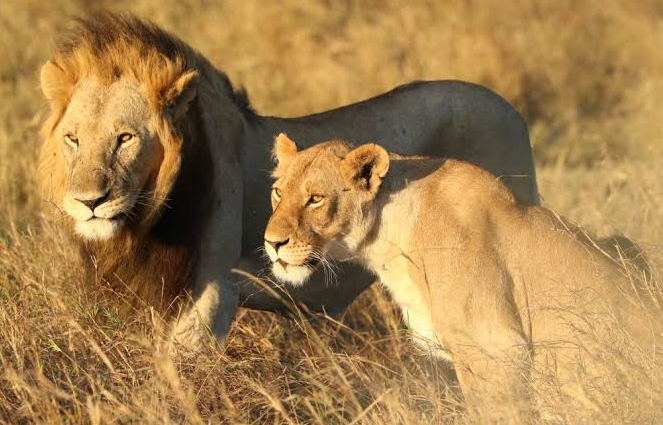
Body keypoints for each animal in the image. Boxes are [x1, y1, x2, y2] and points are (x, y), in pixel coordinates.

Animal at [38, 12, 541, 347]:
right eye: (73, 139)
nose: (89, 202)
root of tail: (511, 110)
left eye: (125, 138)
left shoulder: (210, 297)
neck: (143, 221)